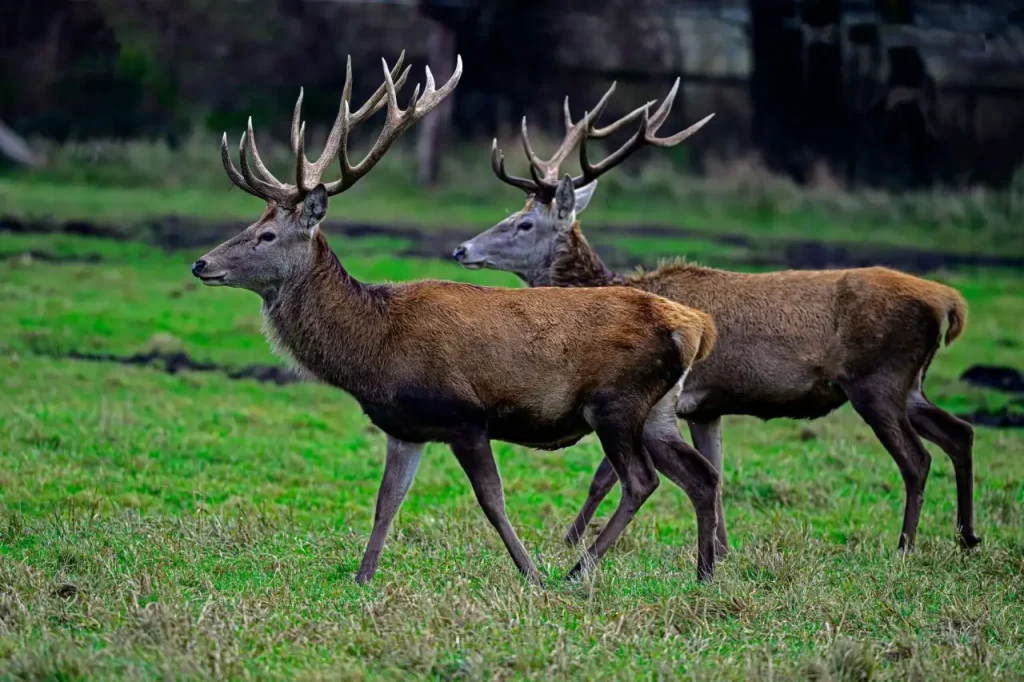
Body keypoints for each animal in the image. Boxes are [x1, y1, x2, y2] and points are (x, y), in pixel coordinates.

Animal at [190, 54, 722, 585]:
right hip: (657, 409)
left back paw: (578, 571)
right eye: (251, 224)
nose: (200, 263)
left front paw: (531, 574)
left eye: (267, 236)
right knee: (700, 475)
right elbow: (386, 503)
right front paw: (363, 579)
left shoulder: (464, 414)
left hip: (616, 401)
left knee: (641, 480)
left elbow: (492, 501)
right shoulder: (405, 426)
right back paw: (703, 572)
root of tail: (697, 327)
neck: (374, 348)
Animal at [453, 80, 978, 558]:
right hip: (910, 383)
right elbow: (717, 469)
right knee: (960, 432)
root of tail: (948, 301)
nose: (462, 249)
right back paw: (967, 538)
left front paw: (569, 539)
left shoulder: (667, 397)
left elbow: (605, 477)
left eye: (523, 223)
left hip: (877, 380)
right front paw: (722, 549)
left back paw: (905, 545)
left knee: (917, 459)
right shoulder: (706, 406)